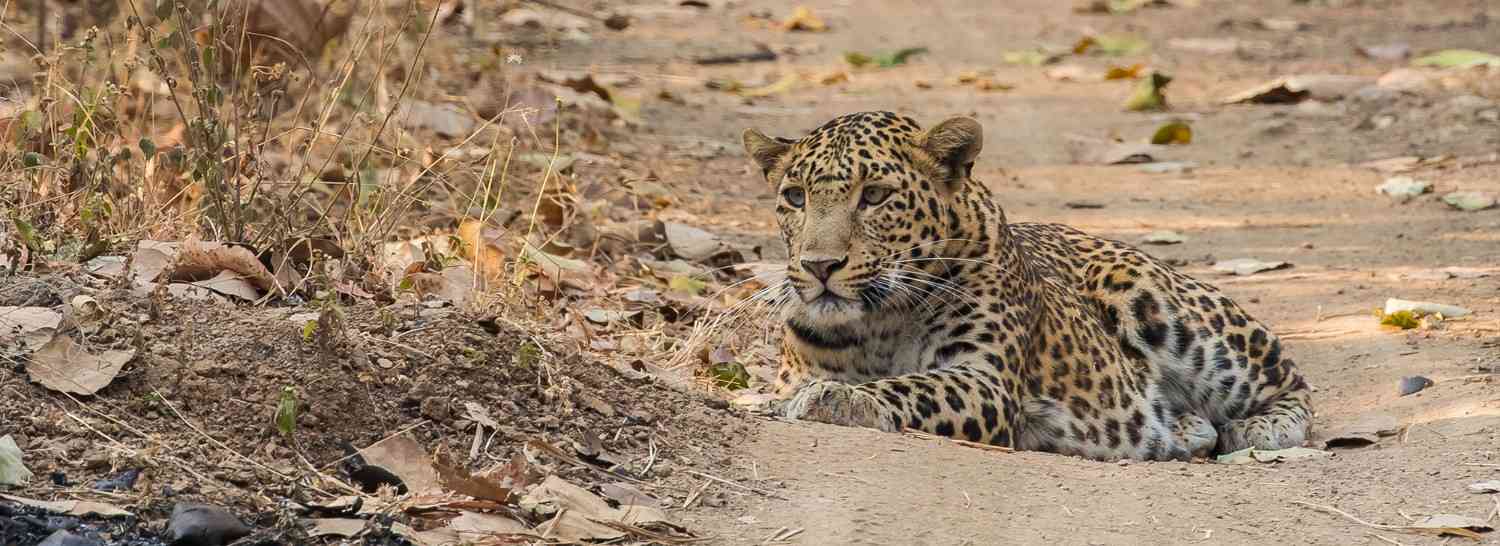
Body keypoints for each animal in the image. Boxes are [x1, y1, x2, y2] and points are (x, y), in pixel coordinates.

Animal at [738, 111, 1314, 462]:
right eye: (794, 197)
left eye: (875, 196)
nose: (819, 265)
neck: (878, 321)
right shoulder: (793, 374)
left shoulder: (985, 379)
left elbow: (911, 385)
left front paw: (841, 398)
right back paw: (1180, 429)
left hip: (1157, 301)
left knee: (1290, 382)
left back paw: (1259, 429)